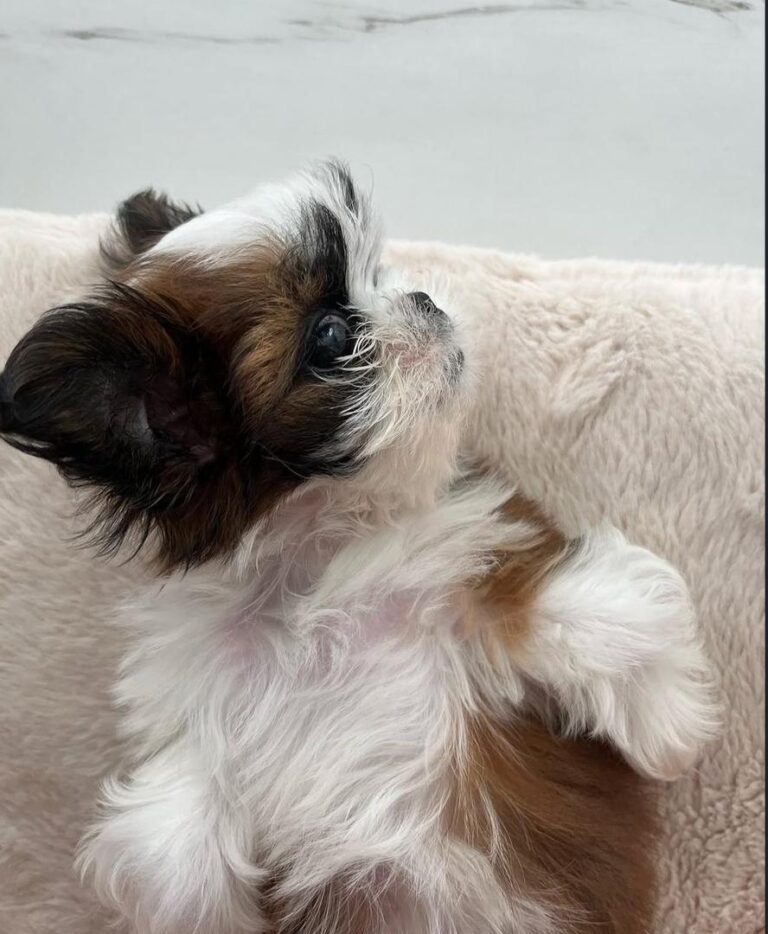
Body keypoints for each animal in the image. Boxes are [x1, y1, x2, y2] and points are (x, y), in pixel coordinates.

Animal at [0, 161, 717, 933]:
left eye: (378, 273)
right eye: (333, 335)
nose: (423, 299)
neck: (311, 570)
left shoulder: (469, 568)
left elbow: (607, 617)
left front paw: (673, 726)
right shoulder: (203, 708)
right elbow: (164, 842)